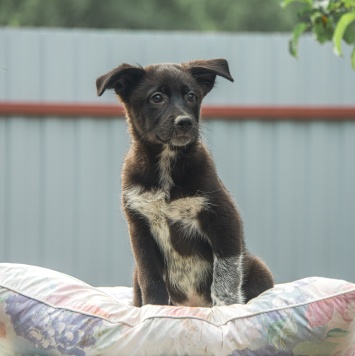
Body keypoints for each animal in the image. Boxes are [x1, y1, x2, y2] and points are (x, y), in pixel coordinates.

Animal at [96, 58, 274, 306]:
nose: (185, 122)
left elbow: (226, 277)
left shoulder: (224, 219)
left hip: (257, 266)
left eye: (191, 96)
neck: (166, 163)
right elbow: (150, 278)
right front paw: (154, 309)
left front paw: (226, 309)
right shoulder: (139, 228)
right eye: (157, 98)